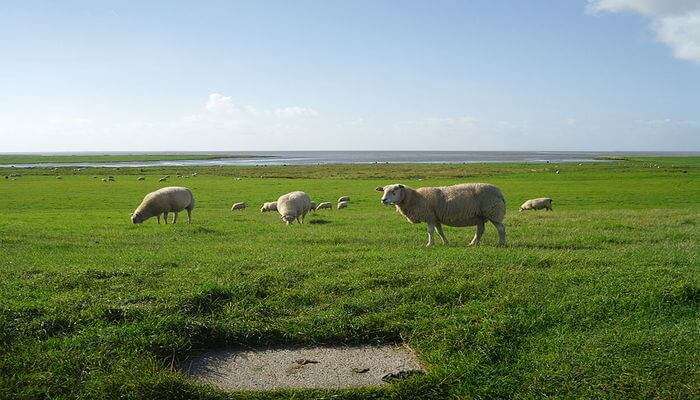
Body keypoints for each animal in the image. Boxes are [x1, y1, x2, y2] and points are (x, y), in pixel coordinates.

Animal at [378, 182, 508, 247]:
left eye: (394, 191)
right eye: (384, 191)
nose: (383, 200)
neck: (415, 198)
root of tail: (500, 192)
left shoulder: (430, 216)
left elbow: (430, 232)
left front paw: (429, 244)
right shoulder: (435, 218)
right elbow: (439, 231)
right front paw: (445, 242)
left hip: (493, 212)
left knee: (501, 228)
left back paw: (501, 243)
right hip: (480, 216)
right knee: (480, 230)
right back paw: (473, 243)